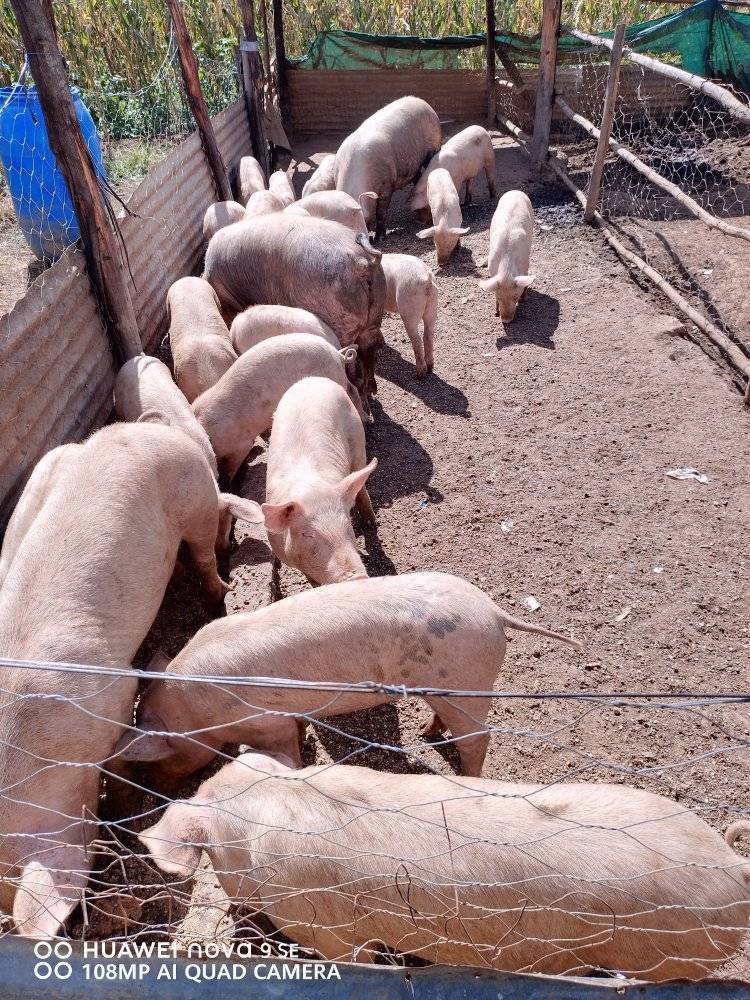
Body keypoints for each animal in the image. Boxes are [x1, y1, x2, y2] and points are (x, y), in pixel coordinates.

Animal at [0, 421, 240, 938]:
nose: (73, 928)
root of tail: (138, 429)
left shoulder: (113, 691)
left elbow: (117, 755)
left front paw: (124, 808)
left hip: (195, 492)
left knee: (204, 551)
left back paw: (219, 597)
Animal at [115, 571, 580, 783]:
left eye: (162, 756)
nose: (156, 785)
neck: (195, 715)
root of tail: (494, 612)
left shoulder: (264, 722)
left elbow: (284, 749)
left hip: (468, 681)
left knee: (478, 738)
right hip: (447, 686)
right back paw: (427, 733)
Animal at [262, 377, 377, 585]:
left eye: (347, 524)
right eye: (308, 534)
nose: (358, 576)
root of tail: (313, 379)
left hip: (357, 435)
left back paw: (371, 523)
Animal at [334, 96, 441, 241]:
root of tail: (422, 101)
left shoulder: (387, 185)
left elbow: (381, 213)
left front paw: (380, 238)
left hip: (435, 145)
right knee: (418, 177)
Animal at [479, 190, 535, 322]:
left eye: (515, 297)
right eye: (498, 297)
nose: (506, 320)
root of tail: (515, 190)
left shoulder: (525, 264)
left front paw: (524, 299)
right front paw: (495, 313)